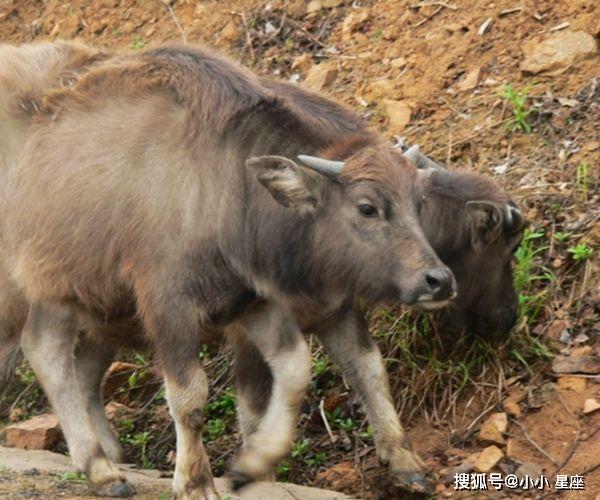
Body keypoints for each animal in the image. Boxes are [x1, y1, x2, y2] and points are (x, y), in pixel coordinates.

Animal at [0, 41, 454, 498]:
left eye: (419, 204)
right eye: (366, 207)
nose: (439, 281)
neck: (222, 190)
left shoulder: (256, 303)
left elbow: (310, 371)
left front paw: (253, 465)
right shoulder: (169, 307)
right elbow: (192, 397)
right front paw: (195, 481)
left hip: (95, 306)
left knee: (68, 363)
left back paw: (104, 460)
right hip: (38, 293)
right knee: (47, 353)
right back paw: (101, 469)